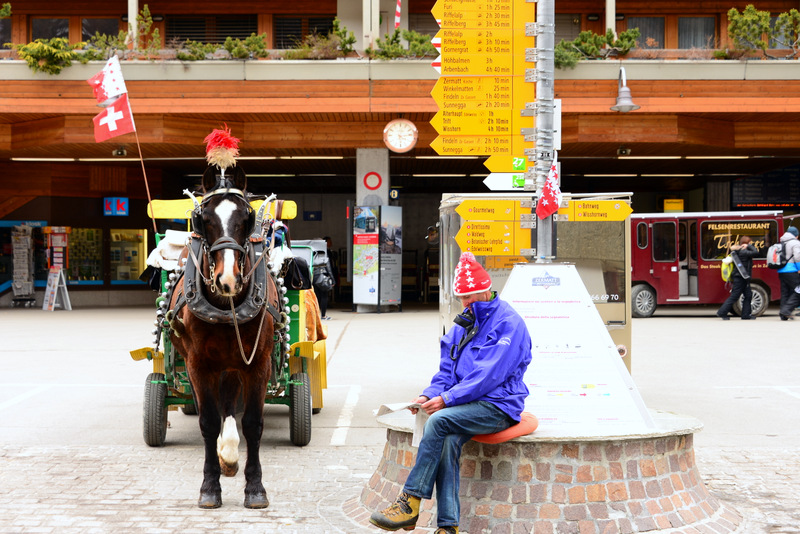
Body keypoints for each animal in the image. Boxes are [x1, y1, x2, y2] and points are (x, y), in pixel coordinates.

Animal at [167, 168, 282, 510]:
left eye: (247, 217)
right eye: (202, 218)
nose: (227, 279)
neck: (225, 306)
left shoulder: (258, 363)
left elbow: (253, 423)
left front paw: (255, 488)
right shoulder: (198, 365)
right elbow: (207, 421)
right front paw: (209, 487)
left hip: (233, 362)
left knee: (230, 400)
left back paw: (230, 453)